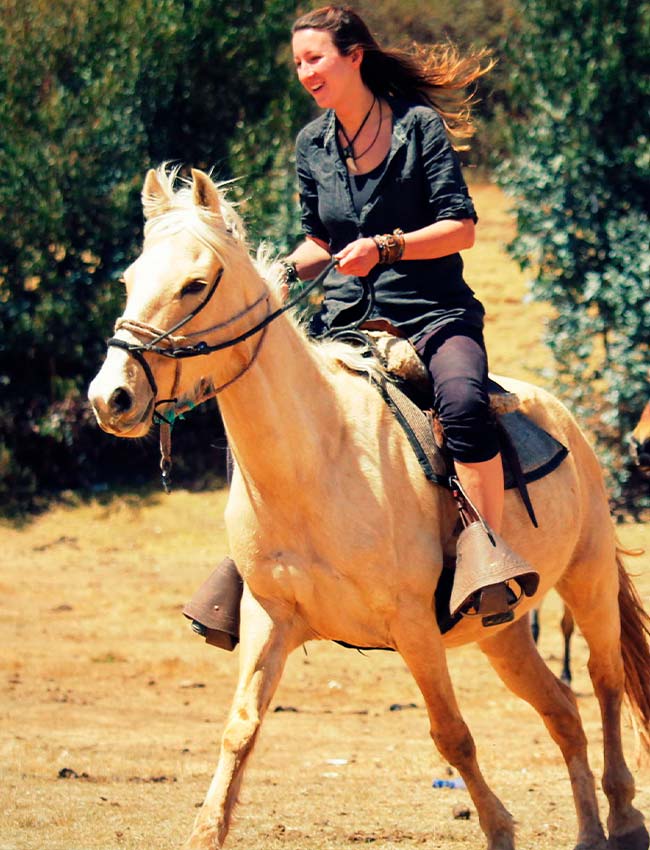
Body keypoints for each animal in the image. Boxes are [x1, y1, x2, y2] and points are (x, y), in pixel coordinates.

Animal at [87, 167, 648, 848]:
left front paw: (498, 826)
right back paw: (591, 830)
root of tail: (568, 421)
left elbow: (453, 737)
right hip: (505, 632)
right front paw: (205, 831)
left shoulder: (413, 627)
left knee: (605, 681)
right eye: (129, 280)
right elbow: (240, 730)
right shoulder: (269, 617)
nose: (111, 397)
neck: (316, 463)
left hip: (587, 582)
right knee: (563, 710)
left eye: (194, 284)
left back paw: (623, 818)